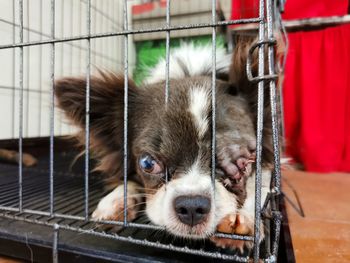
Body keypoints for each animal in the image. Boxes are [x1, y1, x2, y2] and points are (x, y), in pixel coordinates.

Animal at [54, 40, 274, 253]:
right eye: (148, 163)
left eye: (242, 163)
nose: (192, 206)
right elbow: (128, 180)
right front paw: (115, 201)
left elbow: (260, 185)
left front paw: (246, 218)